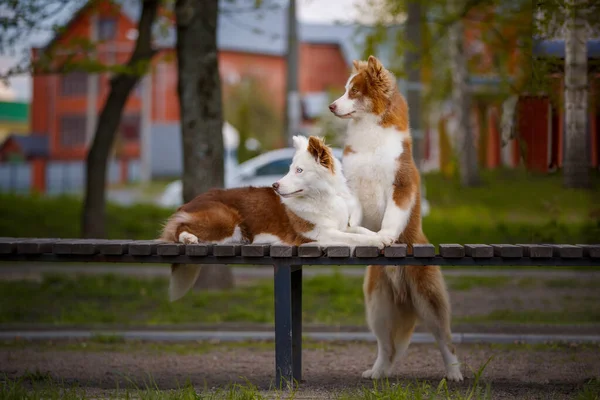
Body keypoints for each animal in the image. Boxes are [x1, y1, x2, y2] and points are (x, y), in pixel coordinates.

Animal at [161, 134, 384, 300]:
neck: (323, 197)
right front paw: (377, 241)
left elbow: (360, 230)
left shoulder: (341, 226)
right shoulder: (319, 234)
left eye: (299, 170)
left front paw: (381, 236)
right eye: (290, 169)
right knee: (179, 228)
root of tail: (189, 201)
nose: (275, 185)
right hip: (226, 220)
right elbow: (354, 237)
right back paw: (189, 238)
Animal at [328, 56, 464, 382]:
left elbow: (392, 214)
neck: (369, 134)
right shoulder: (354, 186)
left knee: (446, 340)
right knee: (386, 346)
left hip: (429, 300)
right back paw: (377, 372)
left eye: (354, 91)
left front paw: (386, 235)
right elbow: (354, 215)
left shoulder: (401, 185)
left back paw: (454, 373)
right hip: (377, 307)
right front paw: (357, 231)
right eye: (346, 89)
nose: (331, 106)